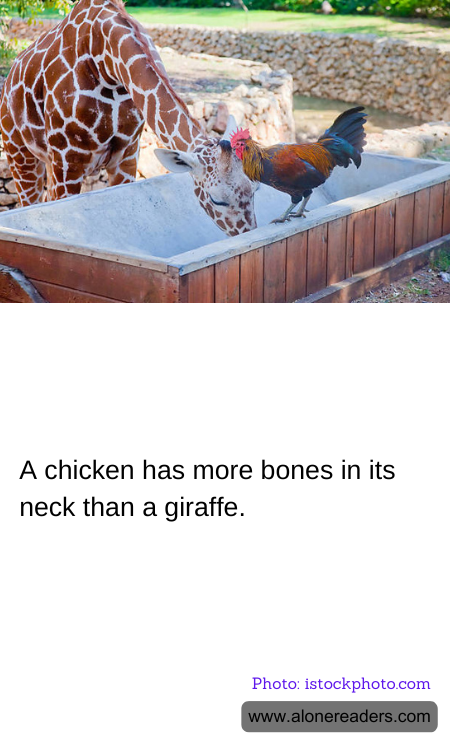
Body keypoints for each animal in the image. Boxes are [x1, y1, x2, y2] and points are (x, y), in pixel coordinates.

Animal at [0, 0, 257, 236]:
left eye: (254, 189)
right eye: (216, 199)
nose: (248, 233)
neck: (107, 64)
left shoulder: (127, 154)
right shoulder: (68, 161)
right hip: (20, 156)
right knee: (29, 202)